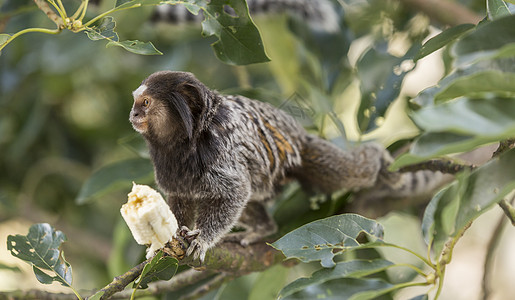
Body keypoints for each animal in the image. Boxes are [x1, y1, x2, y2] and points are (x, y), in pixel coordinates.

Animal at [131, 71, 442, 262]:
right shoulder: (170, 171)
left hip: (307, 155)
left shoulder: (220, 151)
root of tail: (299, 134)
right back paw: (263, 228)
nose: (132, 114)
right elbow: (180, 200)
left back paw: (377, 160)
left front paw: (203, 239)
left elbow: (234, 191)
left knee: (353, 173)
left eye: (145, 102)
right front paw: (167, 239)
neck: (183, 142)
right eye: (136, 103)